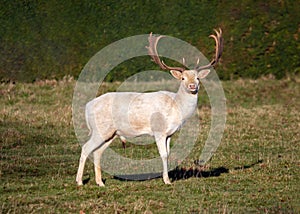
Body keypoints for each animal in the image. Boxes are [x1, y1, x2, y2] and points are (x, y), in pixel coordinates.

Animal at [77, 28, 223, 186]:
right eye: (183, 78)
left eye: (197, 78)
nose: (192, 86)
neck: (176, 107)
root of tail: (87, 106)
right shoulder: (158, 130)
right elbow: (163, 154)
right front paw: (167, 180)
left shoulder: (170, 133)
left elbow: (168, 153)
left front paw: (169, 177)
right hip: (100, 129)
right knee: (86, 148)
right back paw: (79, 182)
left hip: (111, 133)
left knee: (97, 152)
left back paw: (100, 183)